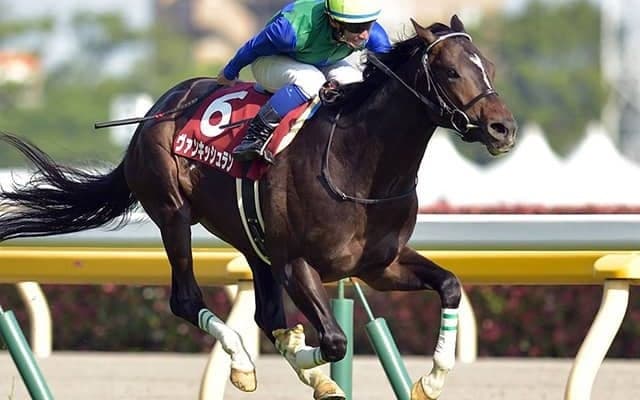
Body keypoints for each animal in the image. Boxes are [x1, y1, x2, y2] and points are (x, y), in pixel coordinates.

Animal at [0, 16, 516, 400]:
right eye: (451, 72)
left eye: (489, 65)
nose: (503, 128)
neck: (357, 161)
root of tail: (156, 112)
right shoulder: (297, 262)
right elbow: (334, 340)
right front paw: (312, 363)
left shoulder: (378, 266)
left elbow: (449, 286)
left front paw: (431, 378)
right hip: (173, 212)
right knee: (187, 299)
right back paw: (244, 363)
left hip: (251, 239)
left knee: (265, 315)